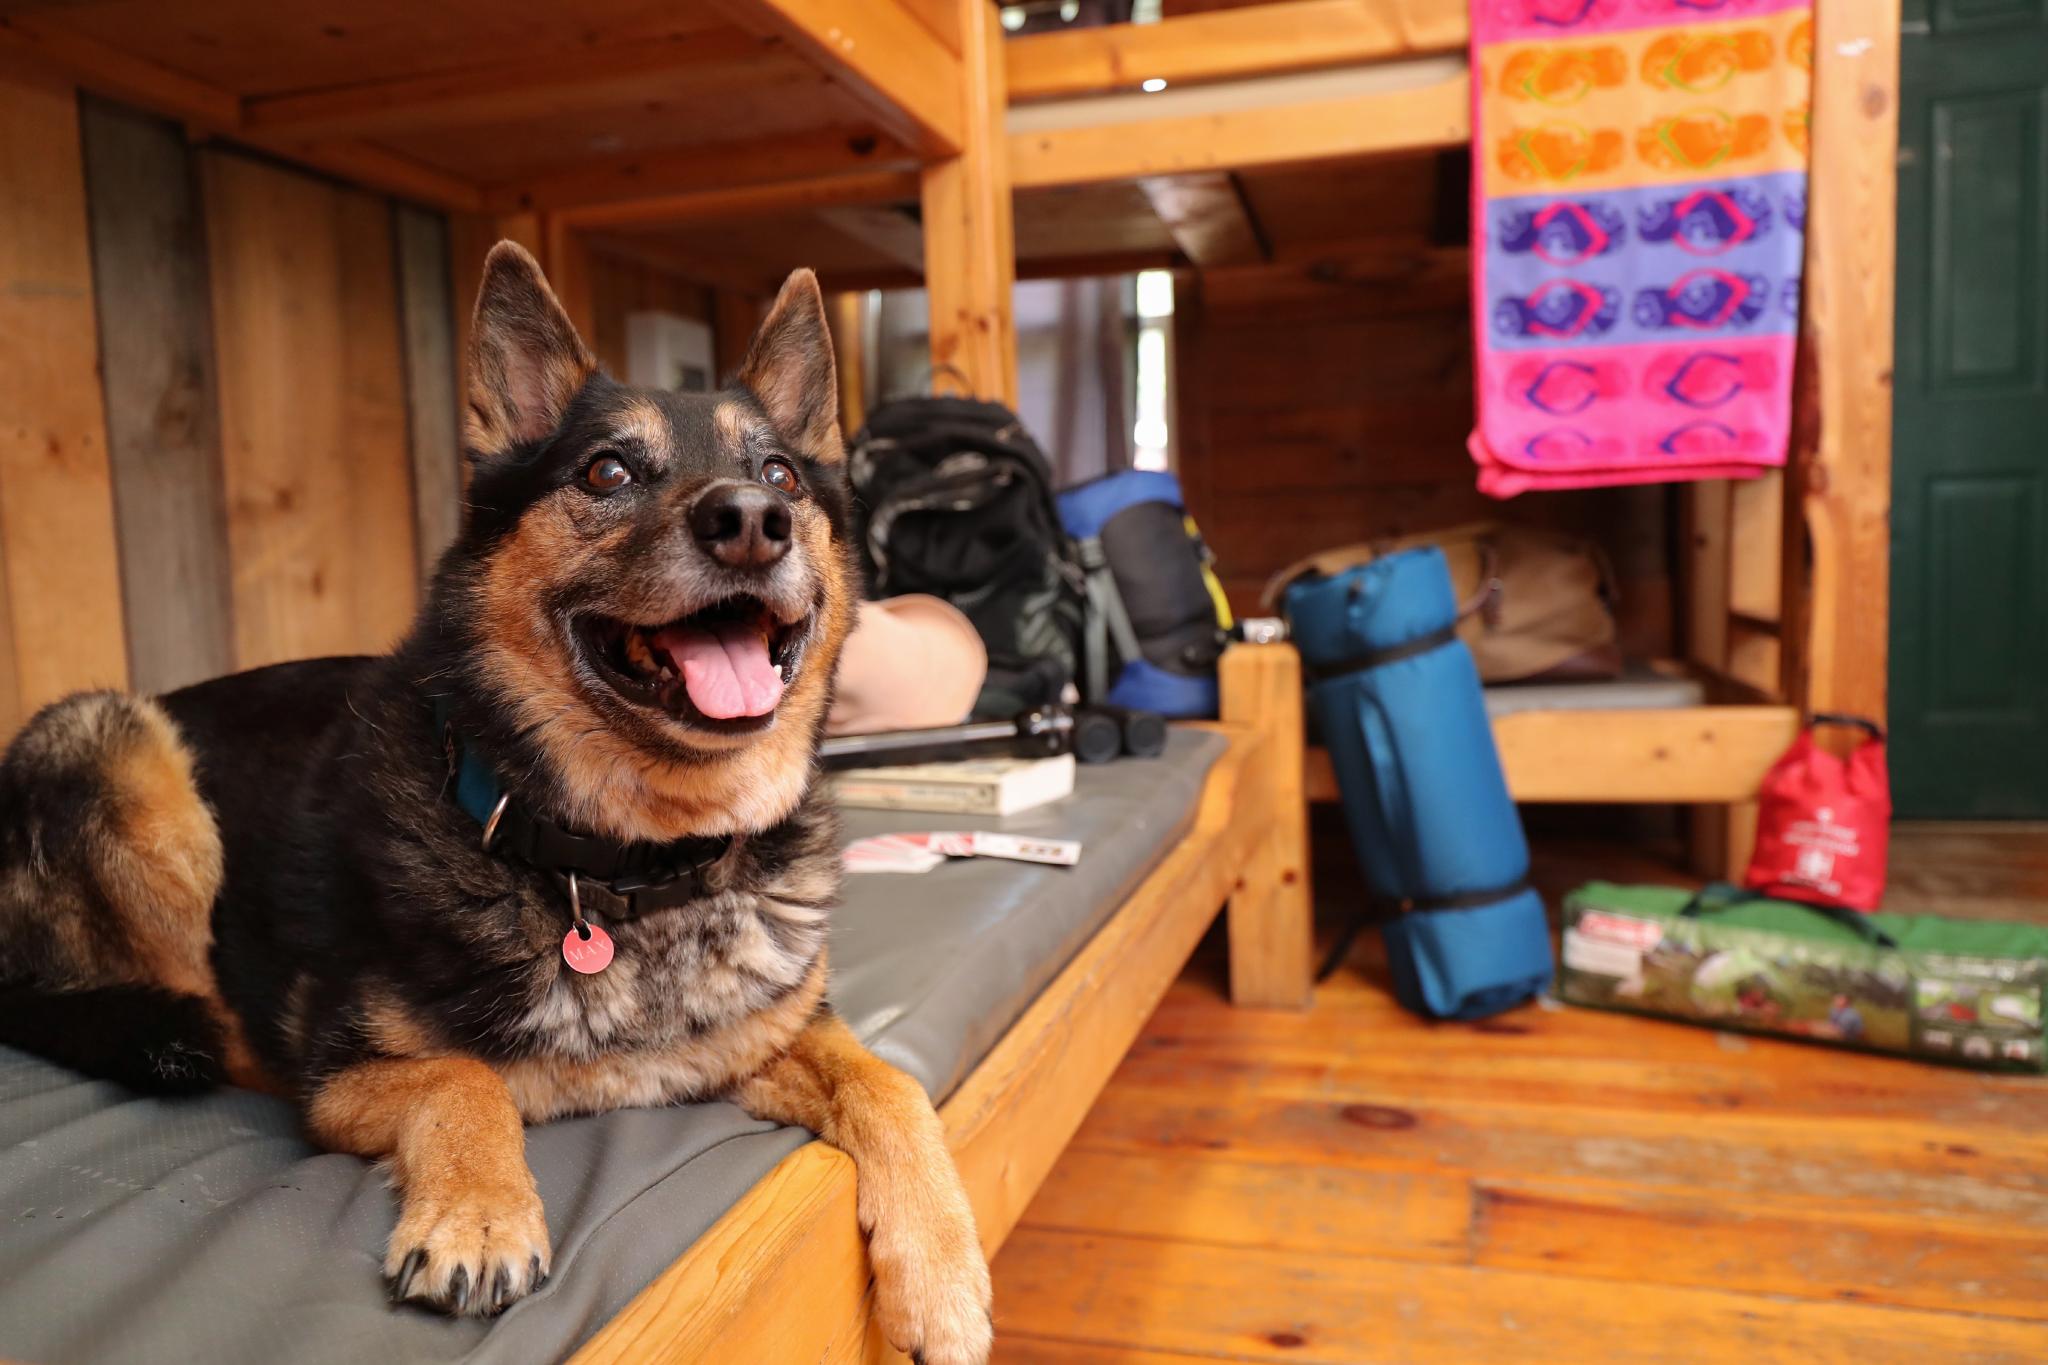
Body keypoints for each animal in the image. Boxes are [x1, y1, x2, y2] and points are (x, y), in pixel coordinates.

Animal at [0, 242, 991, 1365]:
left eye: (780, 473)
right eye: (607, 472)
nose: (753, 521)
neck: (630, 869)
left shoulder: (766, 1041)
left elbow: (890, 1081)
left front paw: (943, 1273)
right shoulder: (345, 1070)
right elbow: (456, 1075)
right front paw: (479, 1214)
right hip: (119, 748)